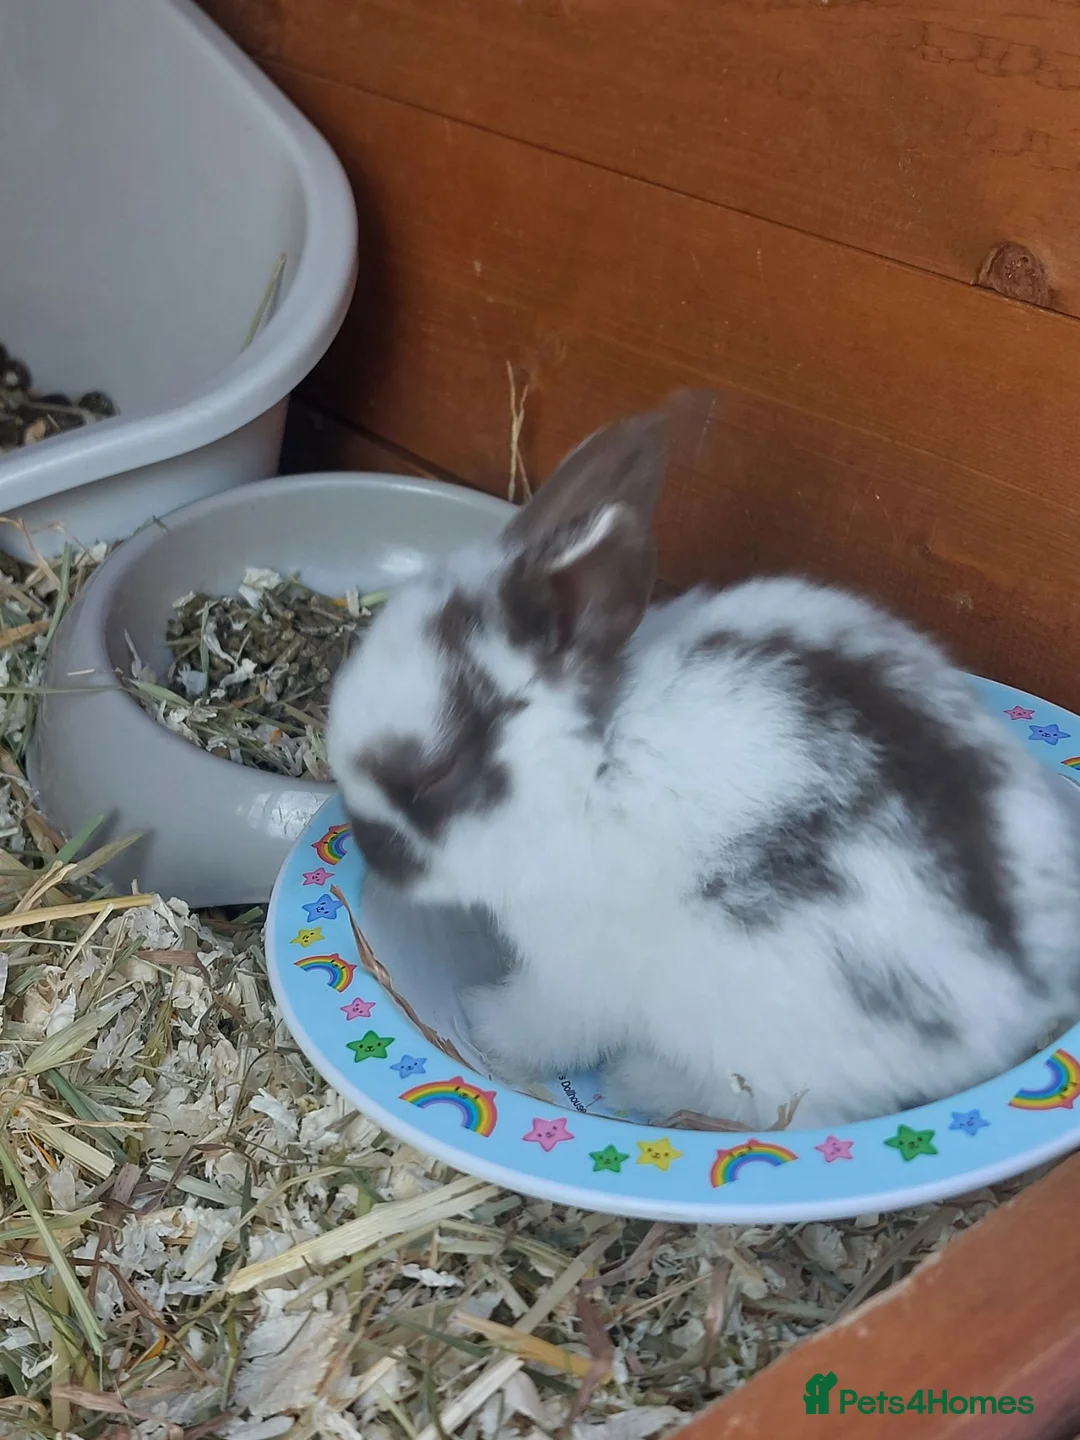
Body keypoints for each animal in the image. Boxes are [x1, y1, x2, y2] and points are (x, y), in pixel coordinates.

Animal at [326, 399, 1080, 1129]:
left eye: (435, 776)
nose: (371, 853)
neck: (589, 767)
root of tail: (1030, 992)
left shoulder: (574, 966)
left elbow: (547, 1022)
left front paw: (487, 1024)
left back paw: (643, 1082)